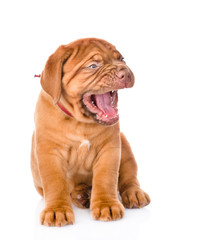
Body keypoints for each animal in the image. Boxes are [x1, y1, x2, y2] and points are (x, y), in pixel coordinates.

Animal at [30, 38, 149, 227]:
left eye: (122, 60)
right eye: (93, 66)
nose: (125, 72)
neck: (80, 122)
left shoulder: (110, 149)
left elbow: (105, 179)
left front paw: (107, 205)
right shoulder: (50, 153)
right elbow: (56, 183)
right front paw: (57, 210)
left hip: (125, 147)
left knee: (129, 176)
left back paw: (134, 194)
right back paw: (82, 195)